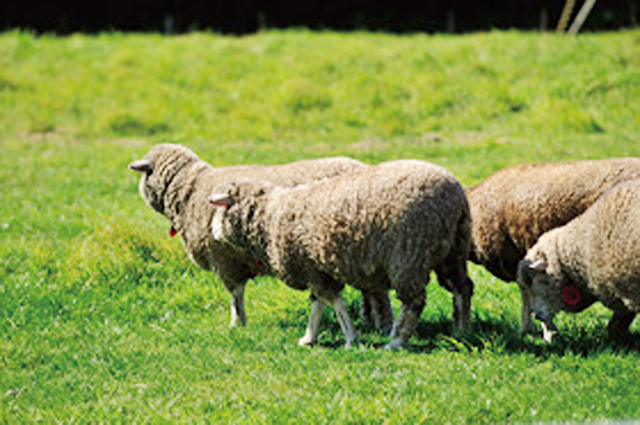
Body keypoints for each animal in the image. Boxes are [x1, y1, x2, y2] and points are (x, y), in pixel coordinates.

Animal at [128, 143, 392, 331]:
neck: (189, 190)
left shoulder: (225, 260)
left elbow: (235, 296)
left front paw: (237, 324)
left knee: (376, 293)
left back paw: (381, 325)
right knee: (371, 290)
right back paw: (371, 323)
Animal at [207, 159, 474, 349]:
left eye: (220, 210)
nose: (213, 232)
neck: (270, 216)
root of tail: (455, 196)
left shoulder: (312, 268)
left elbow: (334, 302)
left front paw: (350, 338)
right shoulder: (316, 269)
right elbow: (318, 303)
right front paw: (309, 337)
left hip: (409, 255)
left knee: (414, 301)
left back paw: (396, 341)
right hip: (453, 250)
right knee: (462, 288)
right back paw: (461, 330)